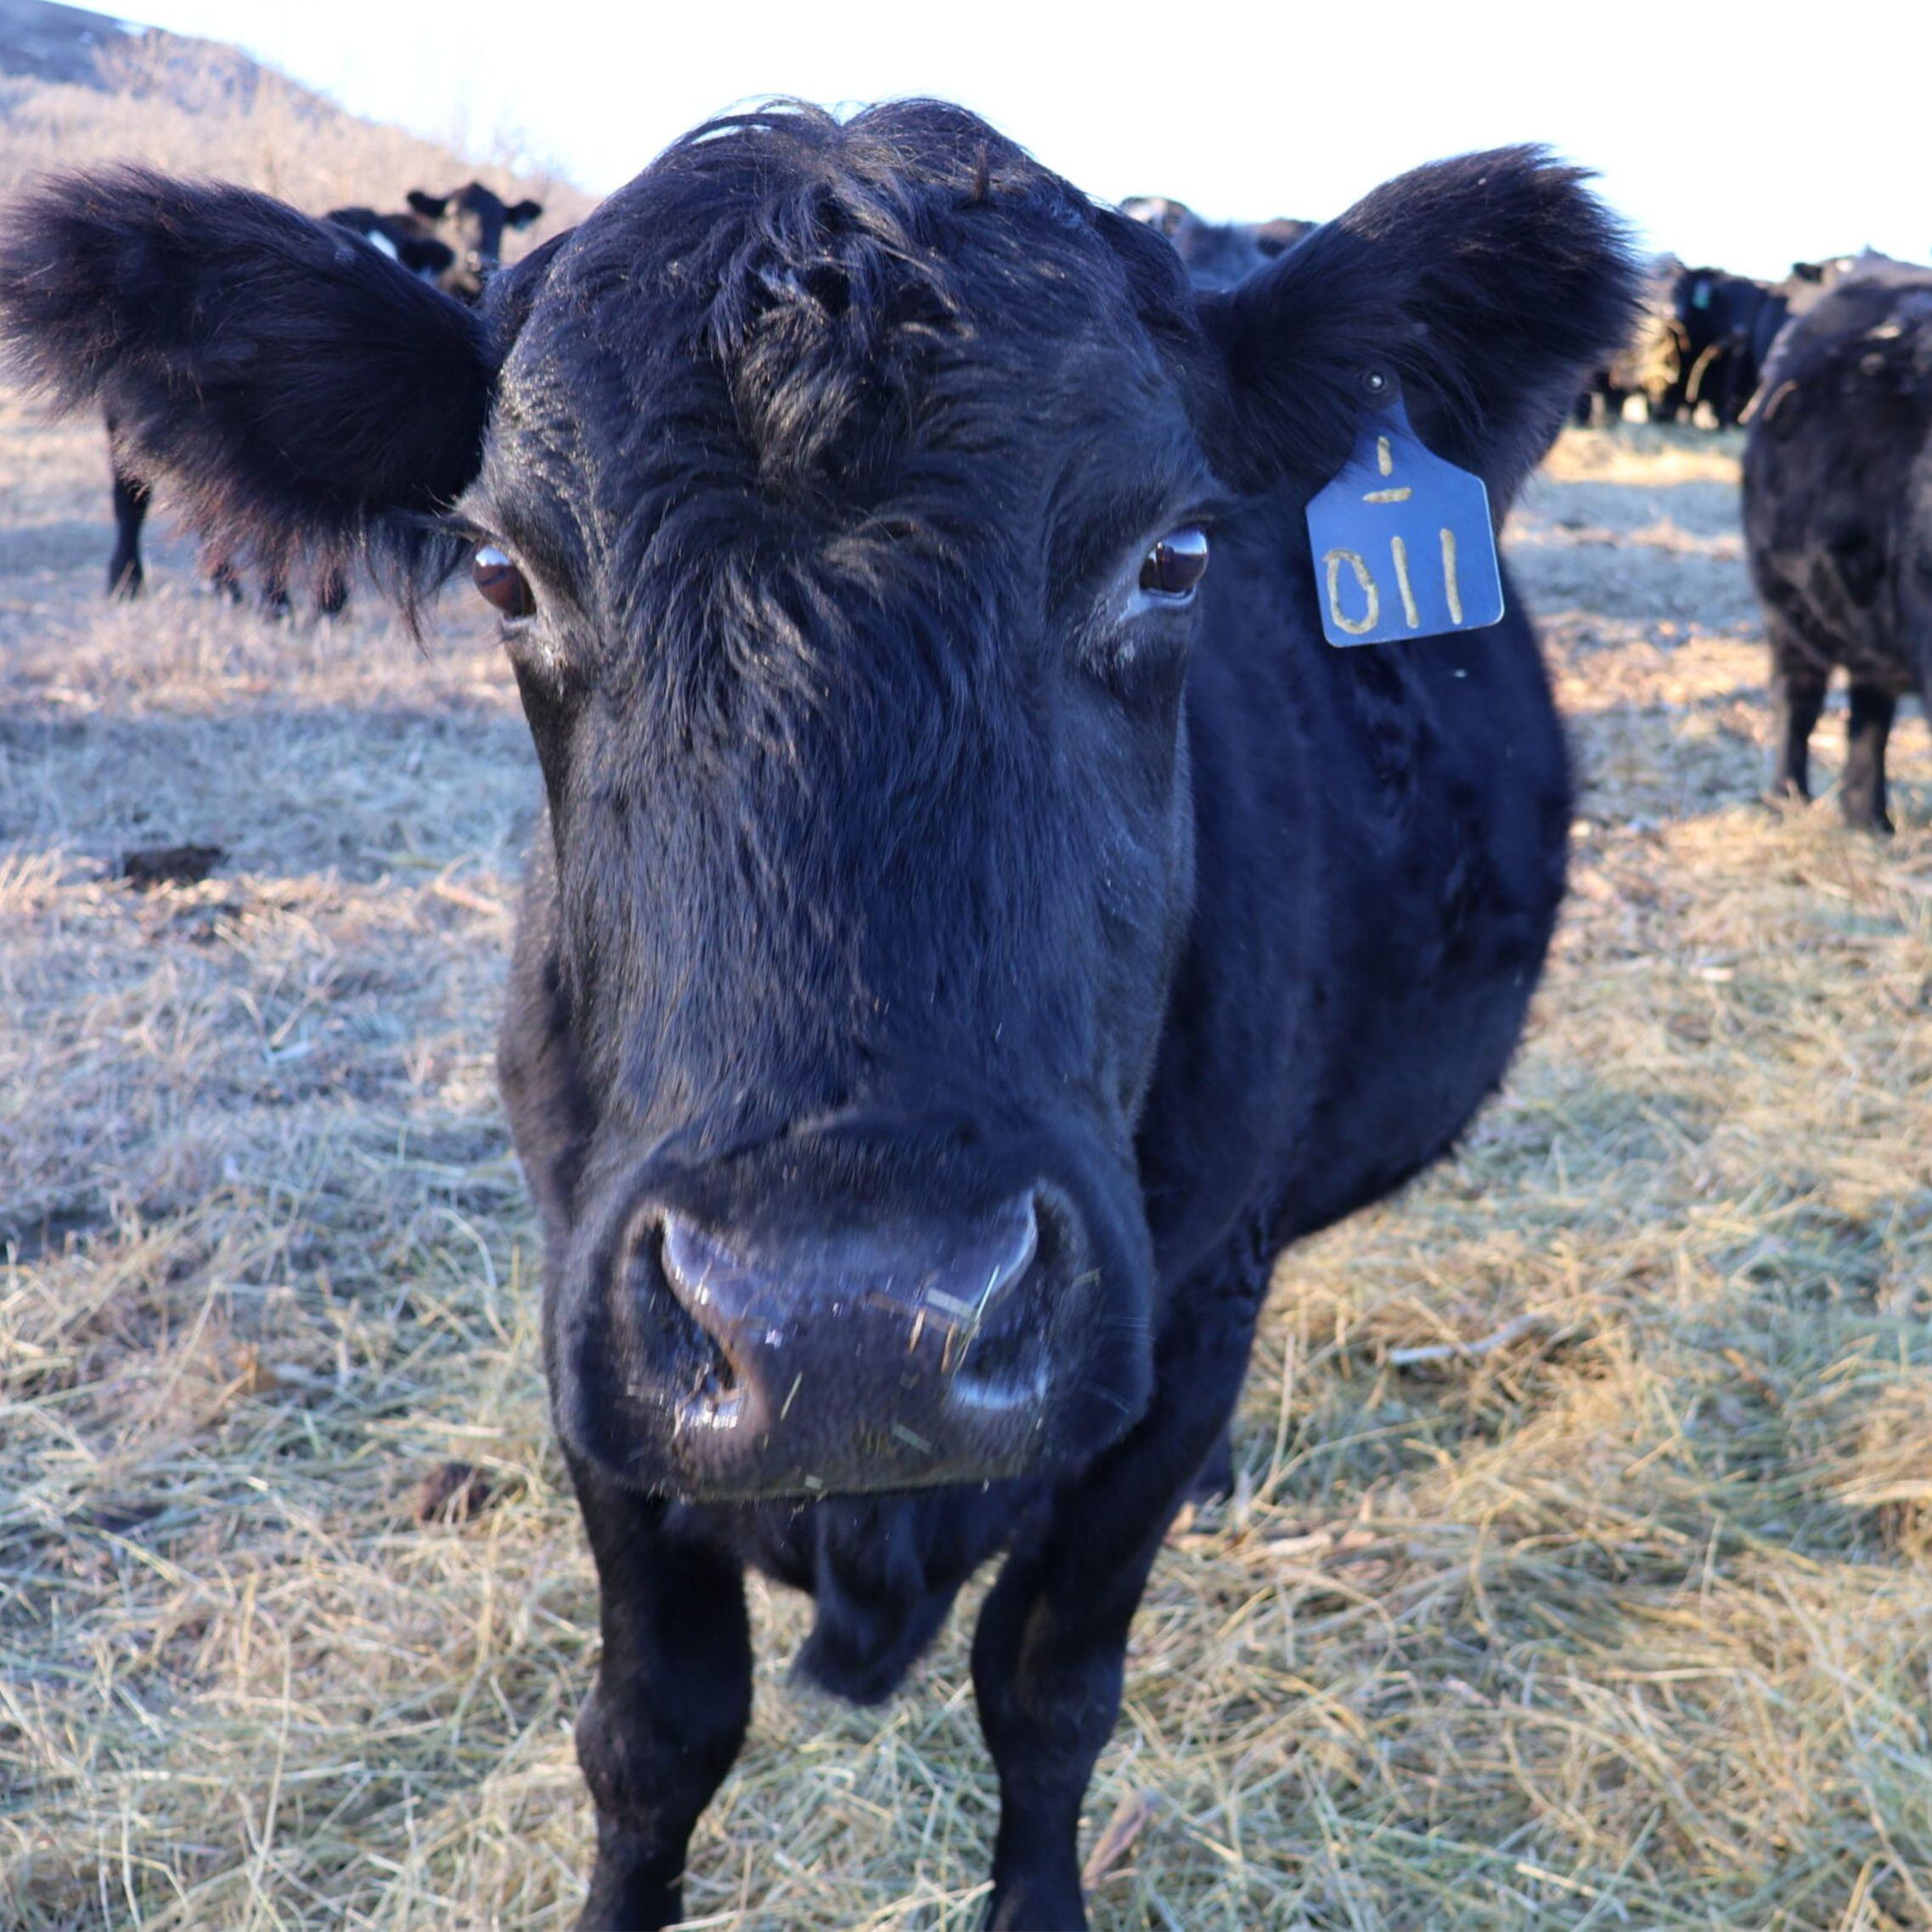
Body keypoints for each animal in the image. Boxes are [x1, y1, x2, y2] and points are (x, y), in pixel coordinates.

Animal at [0, 105, 1637, 1929]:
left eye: (1176, 555)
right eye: (503, 570)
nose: (847, 1323)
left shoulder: (1198, 1298)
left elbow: (1051, 1691)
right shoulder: (590, 1304)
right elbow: (657, 1730)